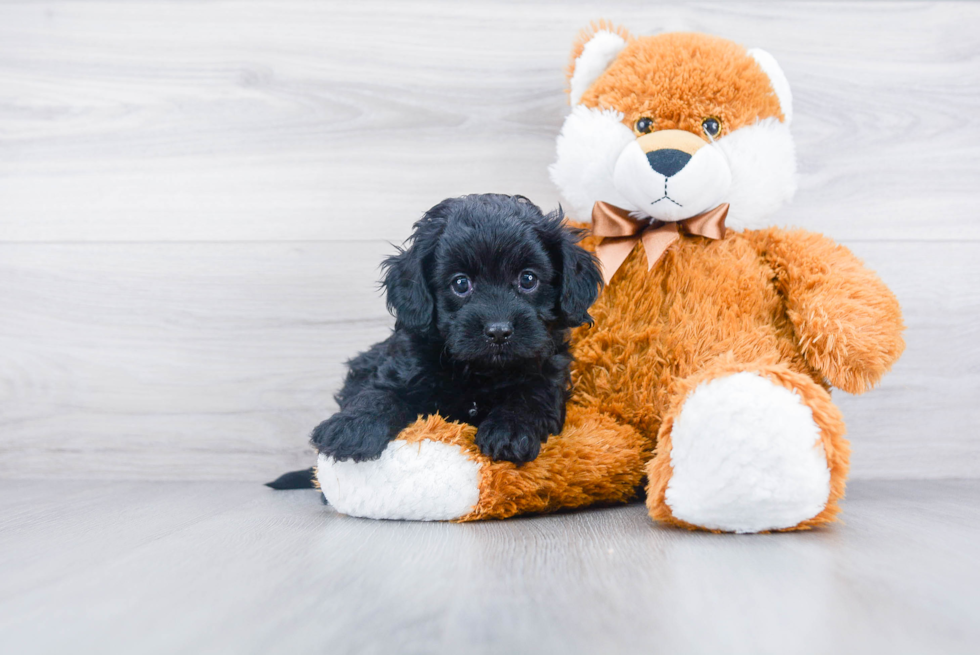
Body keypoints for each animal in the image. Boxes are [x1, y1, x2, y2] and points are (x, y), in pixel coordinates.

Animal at [294, 192, 600, 474]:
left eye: (528, 279)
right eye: (460, 283)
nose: (499, 331)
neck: (479, 372)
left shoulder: (548, 374)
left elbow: (532, 397)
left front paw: (510, 431)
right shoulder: (399, 367)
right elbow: (378, 394)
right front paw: (351, 428)